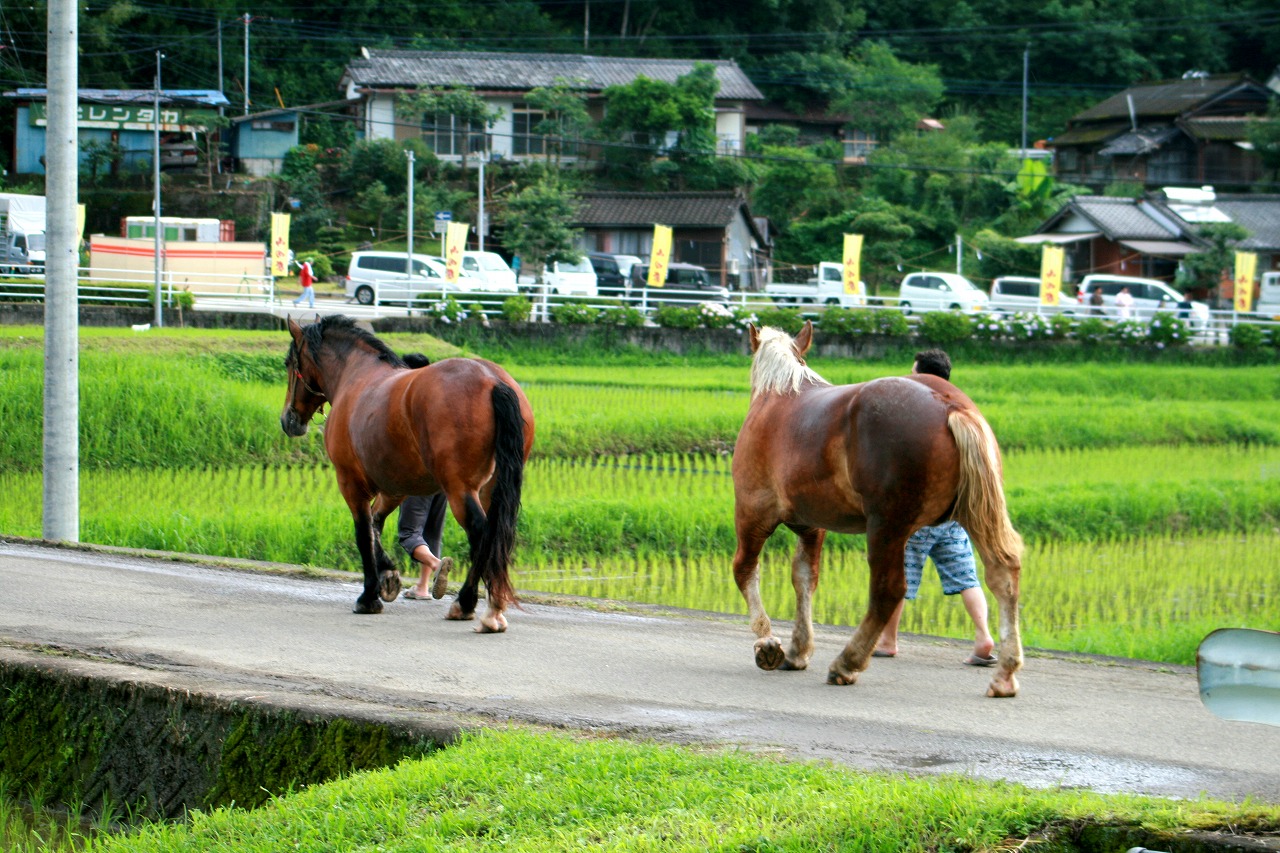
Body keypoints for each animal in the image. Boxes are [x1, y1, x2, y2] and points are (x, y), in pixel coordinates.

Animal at [281, 313, 535, 630]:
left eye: (288, 364)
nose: (288, 420)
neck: (355, 376)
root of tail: (492, 381)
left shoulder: (350, 483)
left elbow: (363, 533)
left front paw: (369, 595)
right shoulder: (395, 488)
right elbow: (375, 525)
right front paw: (388, 575)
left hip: (460, 489)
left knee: (481, 532)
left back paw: (468, 603)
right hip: (492, 489)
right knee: (497, 534)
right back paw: (492, 604)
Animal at [732, 322, 1018, 696]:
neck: (779, 393)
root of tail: (949, 405)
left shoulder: (753, 512)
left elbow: (745, 570)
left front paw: (767, 642)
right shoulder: (812, 526)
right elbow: (804, 577)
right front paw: (798, 648)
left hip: (886, 527)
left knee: (888, 590)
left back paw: (848, 661)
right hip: (973, 514)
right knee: (1003, 574)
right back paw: (1005, 673)